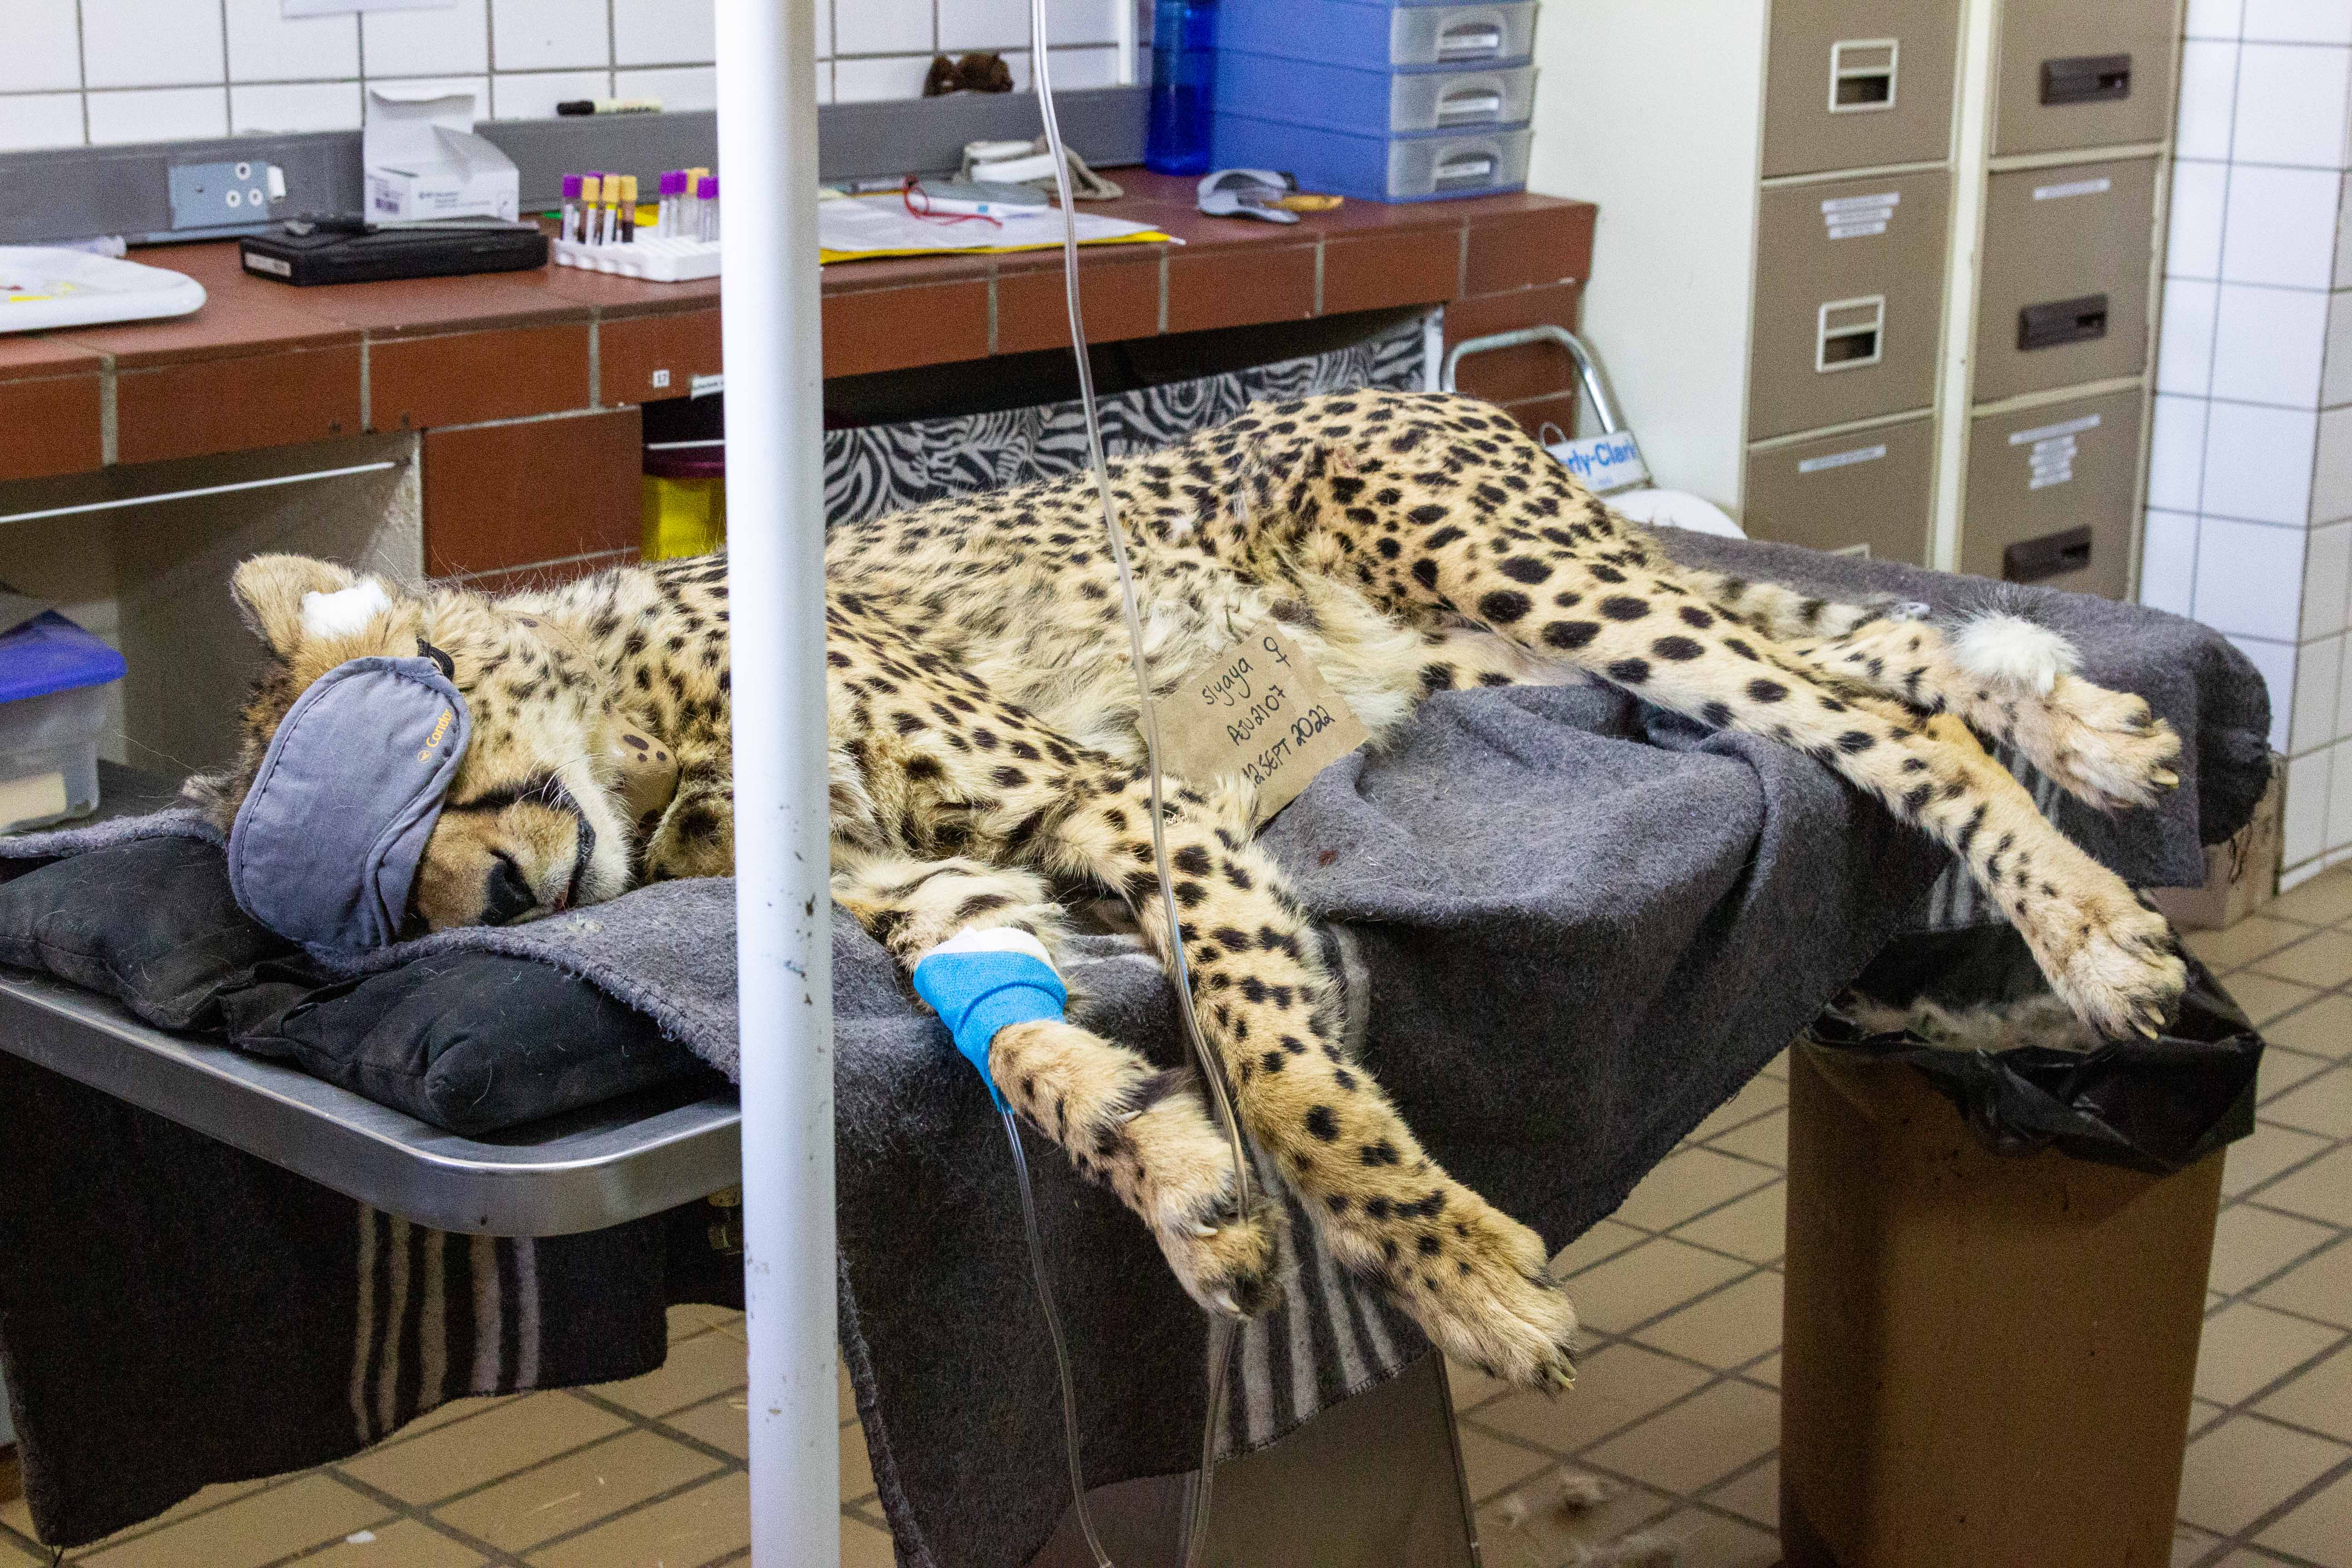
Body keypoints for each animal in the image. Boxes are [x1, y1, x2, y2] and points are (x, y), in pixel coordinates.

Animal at [197, 390, 2182, 1382]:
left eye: (403, 776)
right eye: (382, 921)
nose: (491, 902)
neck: (655, 753)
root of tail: (1419, 376)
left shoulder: (1133, 804)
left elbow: (1286, 1067)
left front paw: (1444, 1260)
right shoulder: (946, 895)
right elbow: (1023, 1054)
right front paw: (1171, 1181)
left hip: (1533, 582)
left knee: (1872, 714)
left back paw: (2089, 922)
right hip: (1491, 651)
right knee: (1881, 653)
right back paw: (2090, 730)